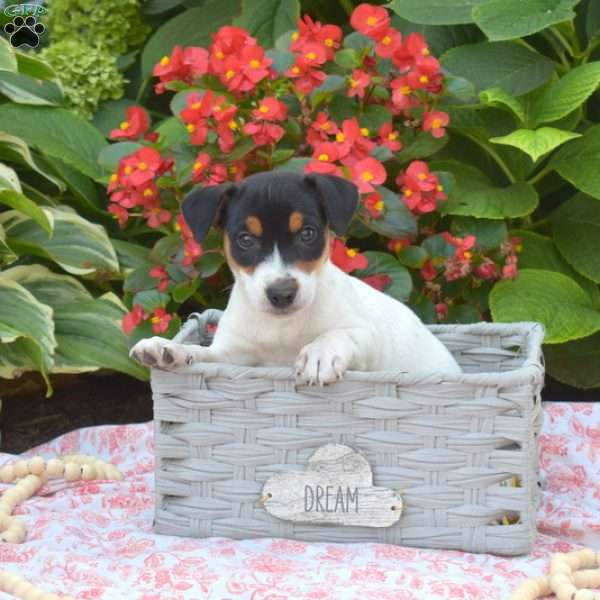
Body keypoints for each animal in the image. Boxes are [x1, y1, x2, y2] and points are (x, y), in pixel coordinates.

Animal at [130, 171, 460, 384]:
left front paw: (319, 354)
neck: (283, 329)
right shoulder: (233, 357)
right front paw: (168, 348)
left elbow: (337, 334)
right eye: (245, 239)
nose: (281, 294)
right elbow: (202, 353)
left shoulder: (368, 338)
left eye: (308, 233)